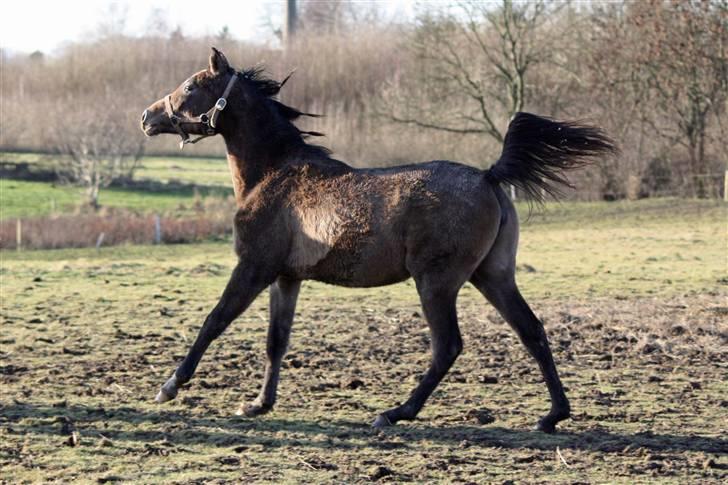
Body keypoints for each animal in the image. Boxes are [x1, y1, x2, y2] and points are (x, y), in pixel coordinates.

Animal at [141, 47, 616, 432]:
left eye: (190, 85)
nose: (147, 116)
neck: (274, 173)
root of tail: (489, 176)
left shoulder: (254, 267)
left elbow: (214, 321)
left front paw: (170, 386)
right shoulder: (286, 278)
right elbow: (277, 341)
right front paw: (258, 404)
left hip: (437, 282)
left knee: (448, 346)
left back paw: (394, 413)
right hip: (493, 275)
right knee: (531, 330)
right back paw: (552, 416)